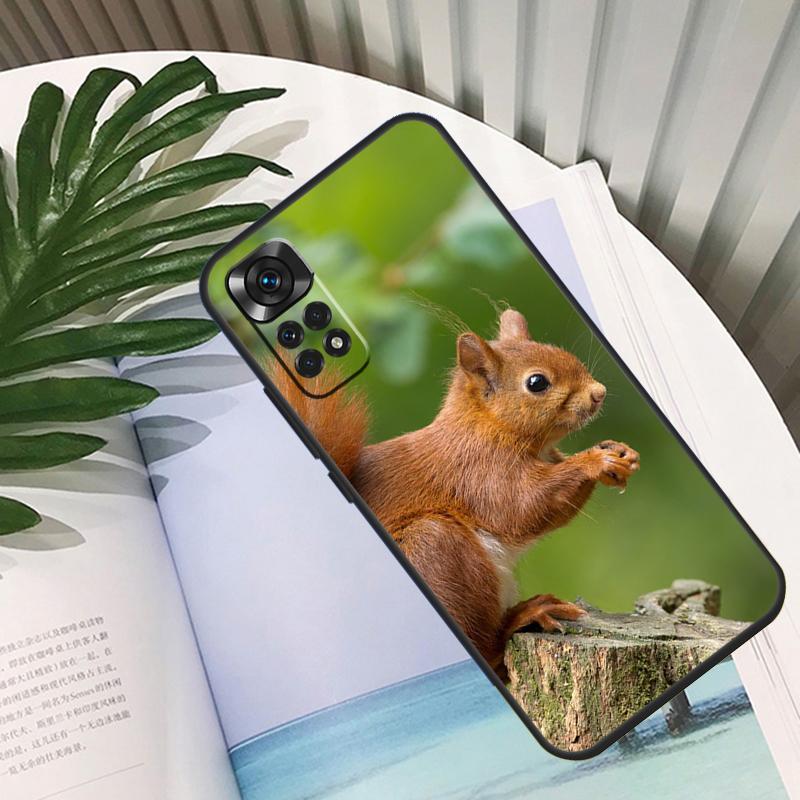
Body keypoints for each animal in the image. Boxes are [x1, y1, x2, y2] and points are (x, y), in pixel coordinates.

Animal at [271, 308, 640, 674]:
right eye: (537, 383)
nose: (599, 392)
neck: (485, 426)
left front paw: (618, 451)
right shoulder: (479, 472)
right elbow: (524, 507)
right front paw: (594, 461)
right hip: (438, 547)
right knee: (488, 647)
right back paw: (527, 614)